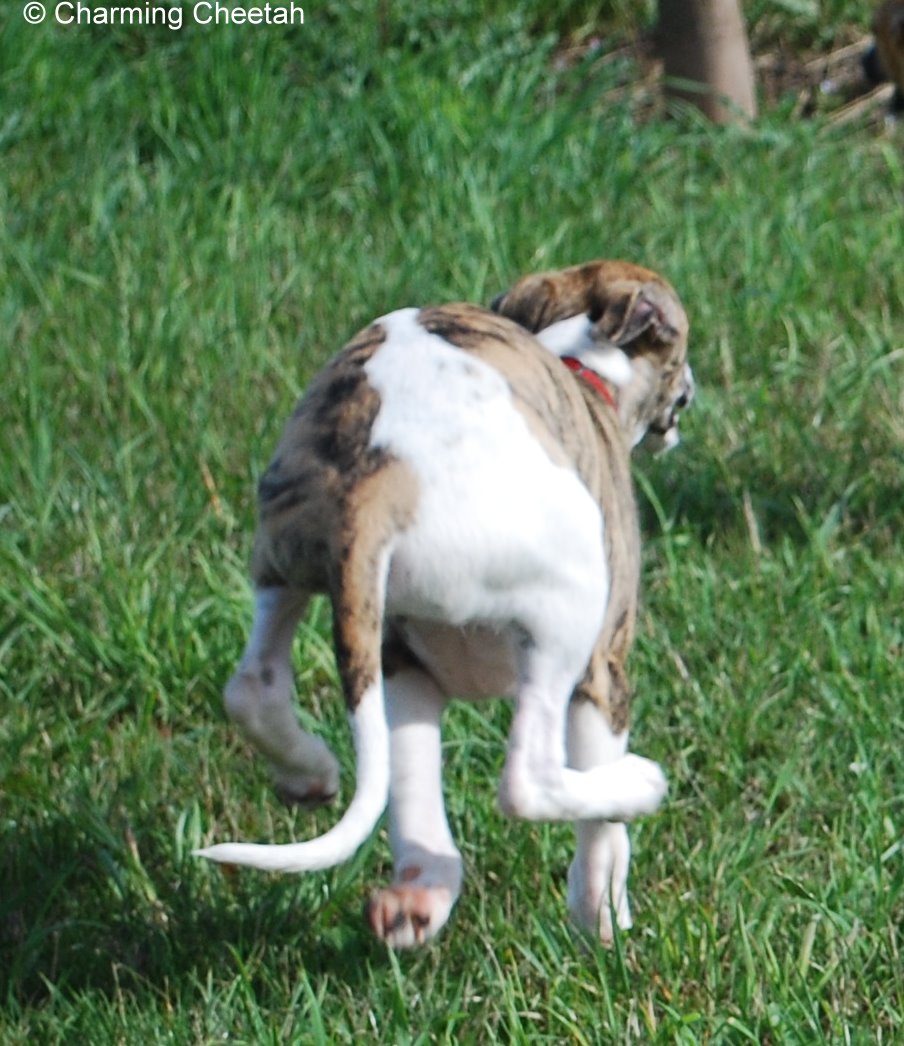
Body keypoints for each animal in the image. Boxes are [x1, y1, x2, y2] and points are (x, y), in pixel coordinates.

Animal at [195, 259, 690, 949]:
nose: (689, 396)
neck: (575, 359)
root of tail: (380, 479)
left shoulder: (413, 663)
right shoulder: (603, 671)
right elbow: (600, 831)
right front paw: (603, 920)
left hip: (303, 573)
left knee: (255, 687)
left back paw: (367, 838)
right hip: (569, 607)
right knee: (528, 781)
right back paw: (640, 785)